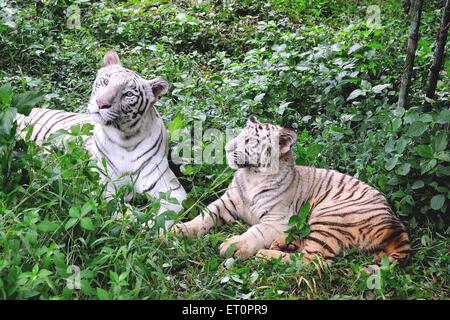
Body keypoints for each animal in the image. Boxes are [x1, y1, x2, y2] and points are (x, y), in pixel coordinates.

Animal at [16, 51, 186, 229]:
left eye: (128, 94)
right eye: (105, 82)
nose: (101, 103)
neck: (126, 138)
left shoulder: (171, 188)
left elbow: (165, 216)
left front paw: (149, 227)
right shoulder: (97, 181)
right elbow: (115, 207)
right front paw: (131, 220)